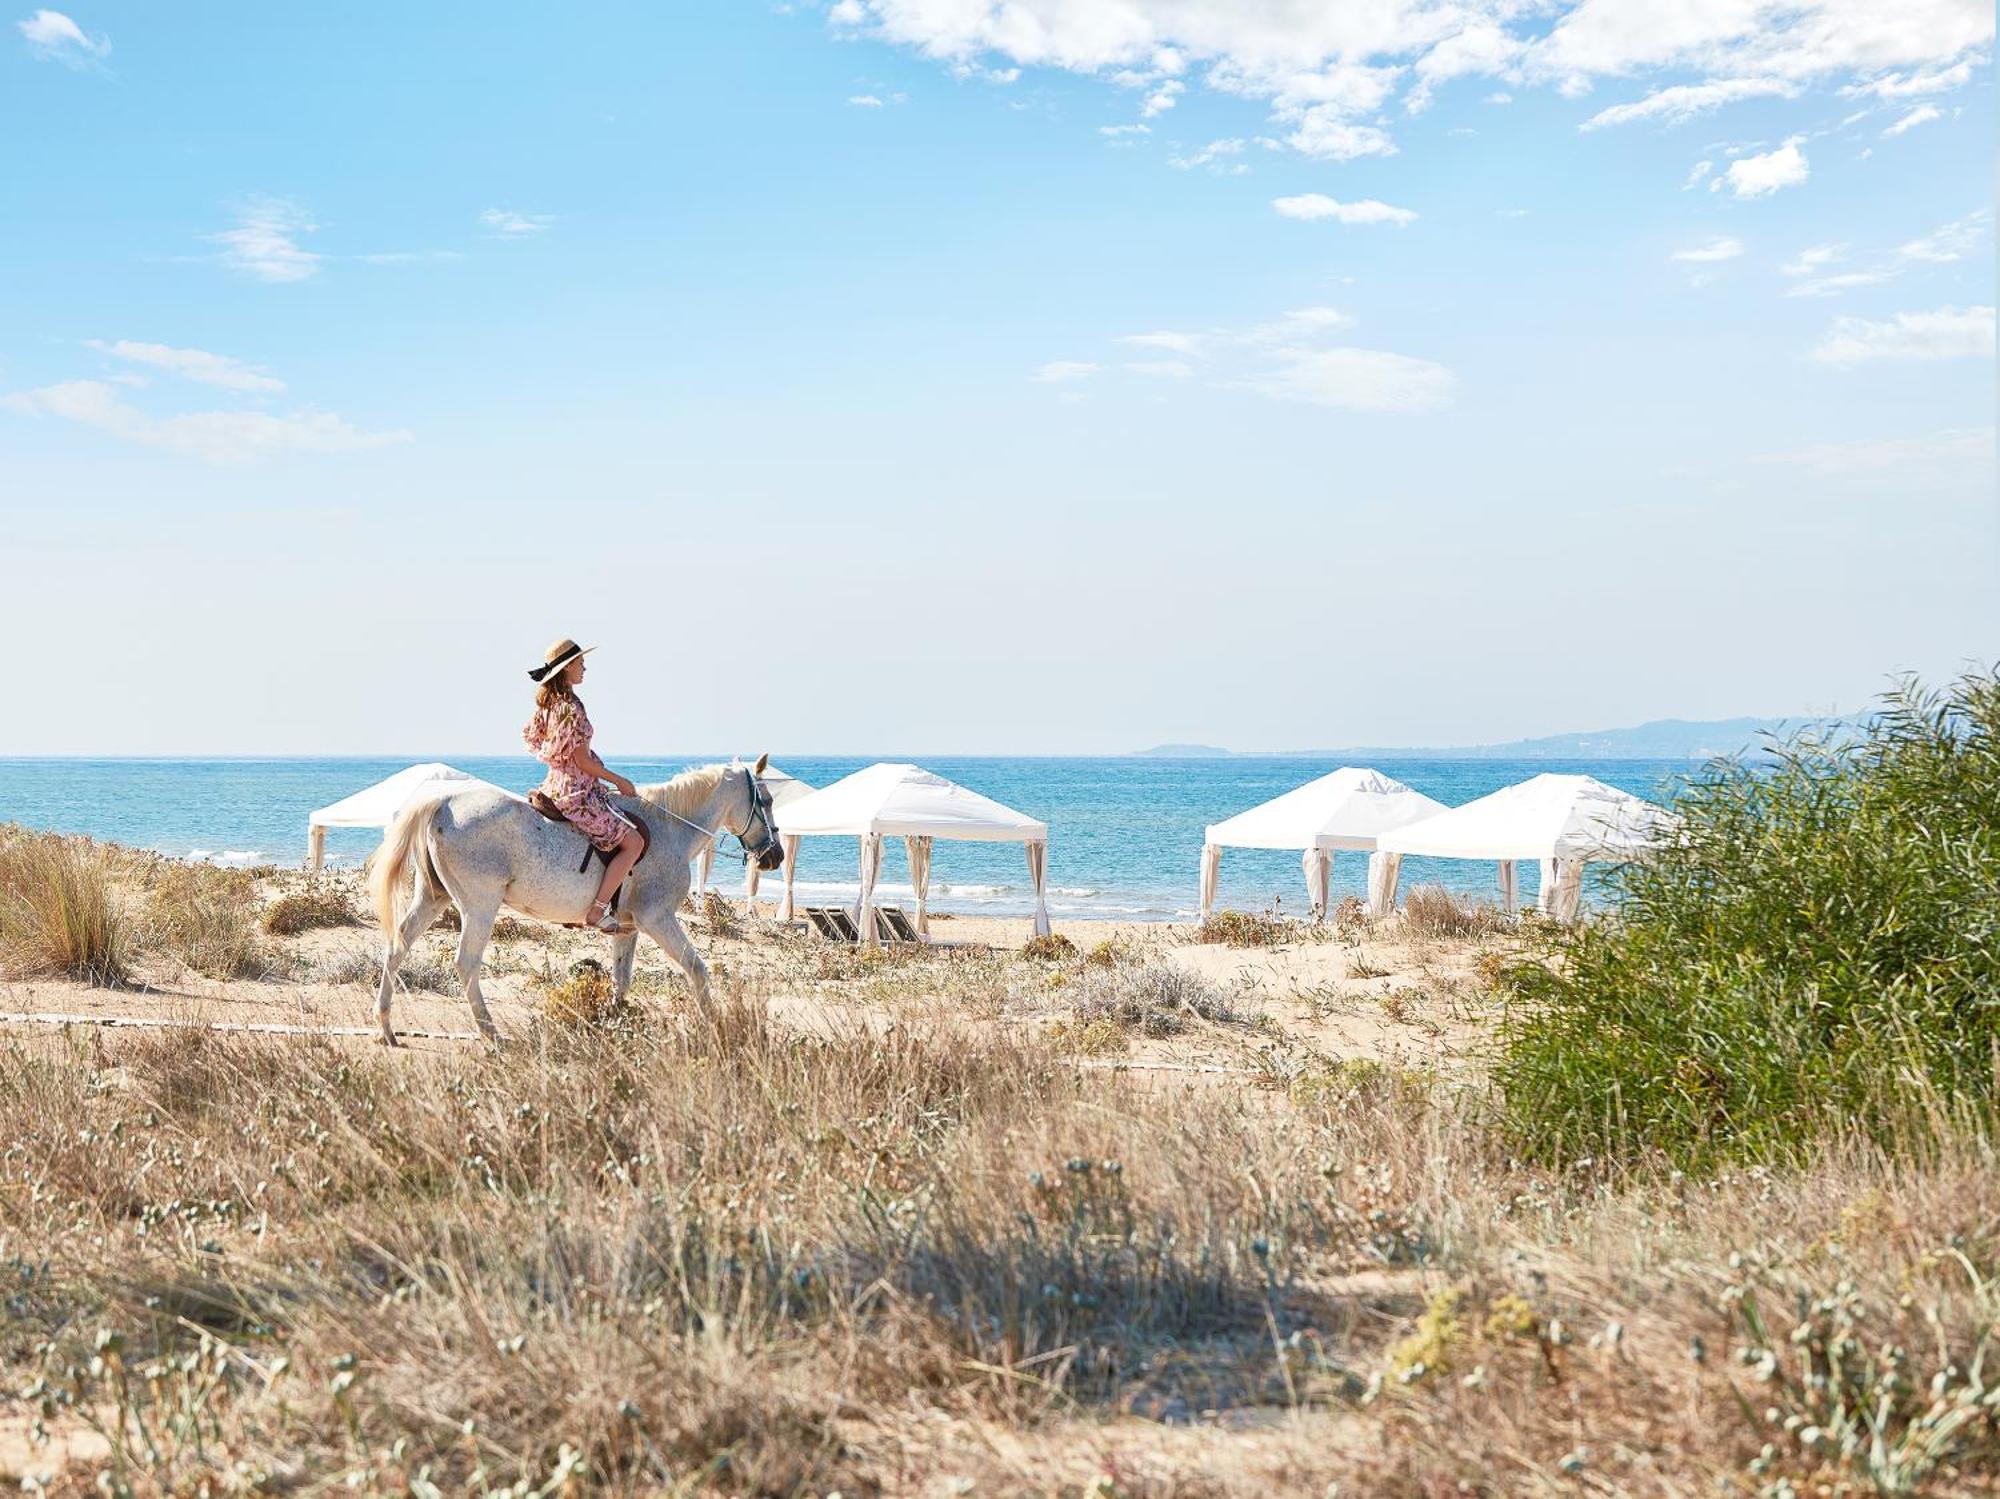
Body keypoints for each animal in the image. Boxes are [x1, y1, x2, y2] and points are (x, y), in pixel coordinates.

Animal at [368, 763, 780, 1047]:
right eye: (768, 801)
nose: (774, 856)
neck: (670, 828)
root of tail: (442, 802)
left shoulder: (628, 927)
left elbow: (621, 980)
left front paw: (613, 1024)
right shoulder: (658, 919)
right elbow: (697, 969)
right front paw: (715, 1029)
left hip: (432, 897)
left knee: (397, 946)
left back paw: (386, 1027)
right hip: (480, 906)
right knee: (466, 963)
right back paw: (490, 1032)